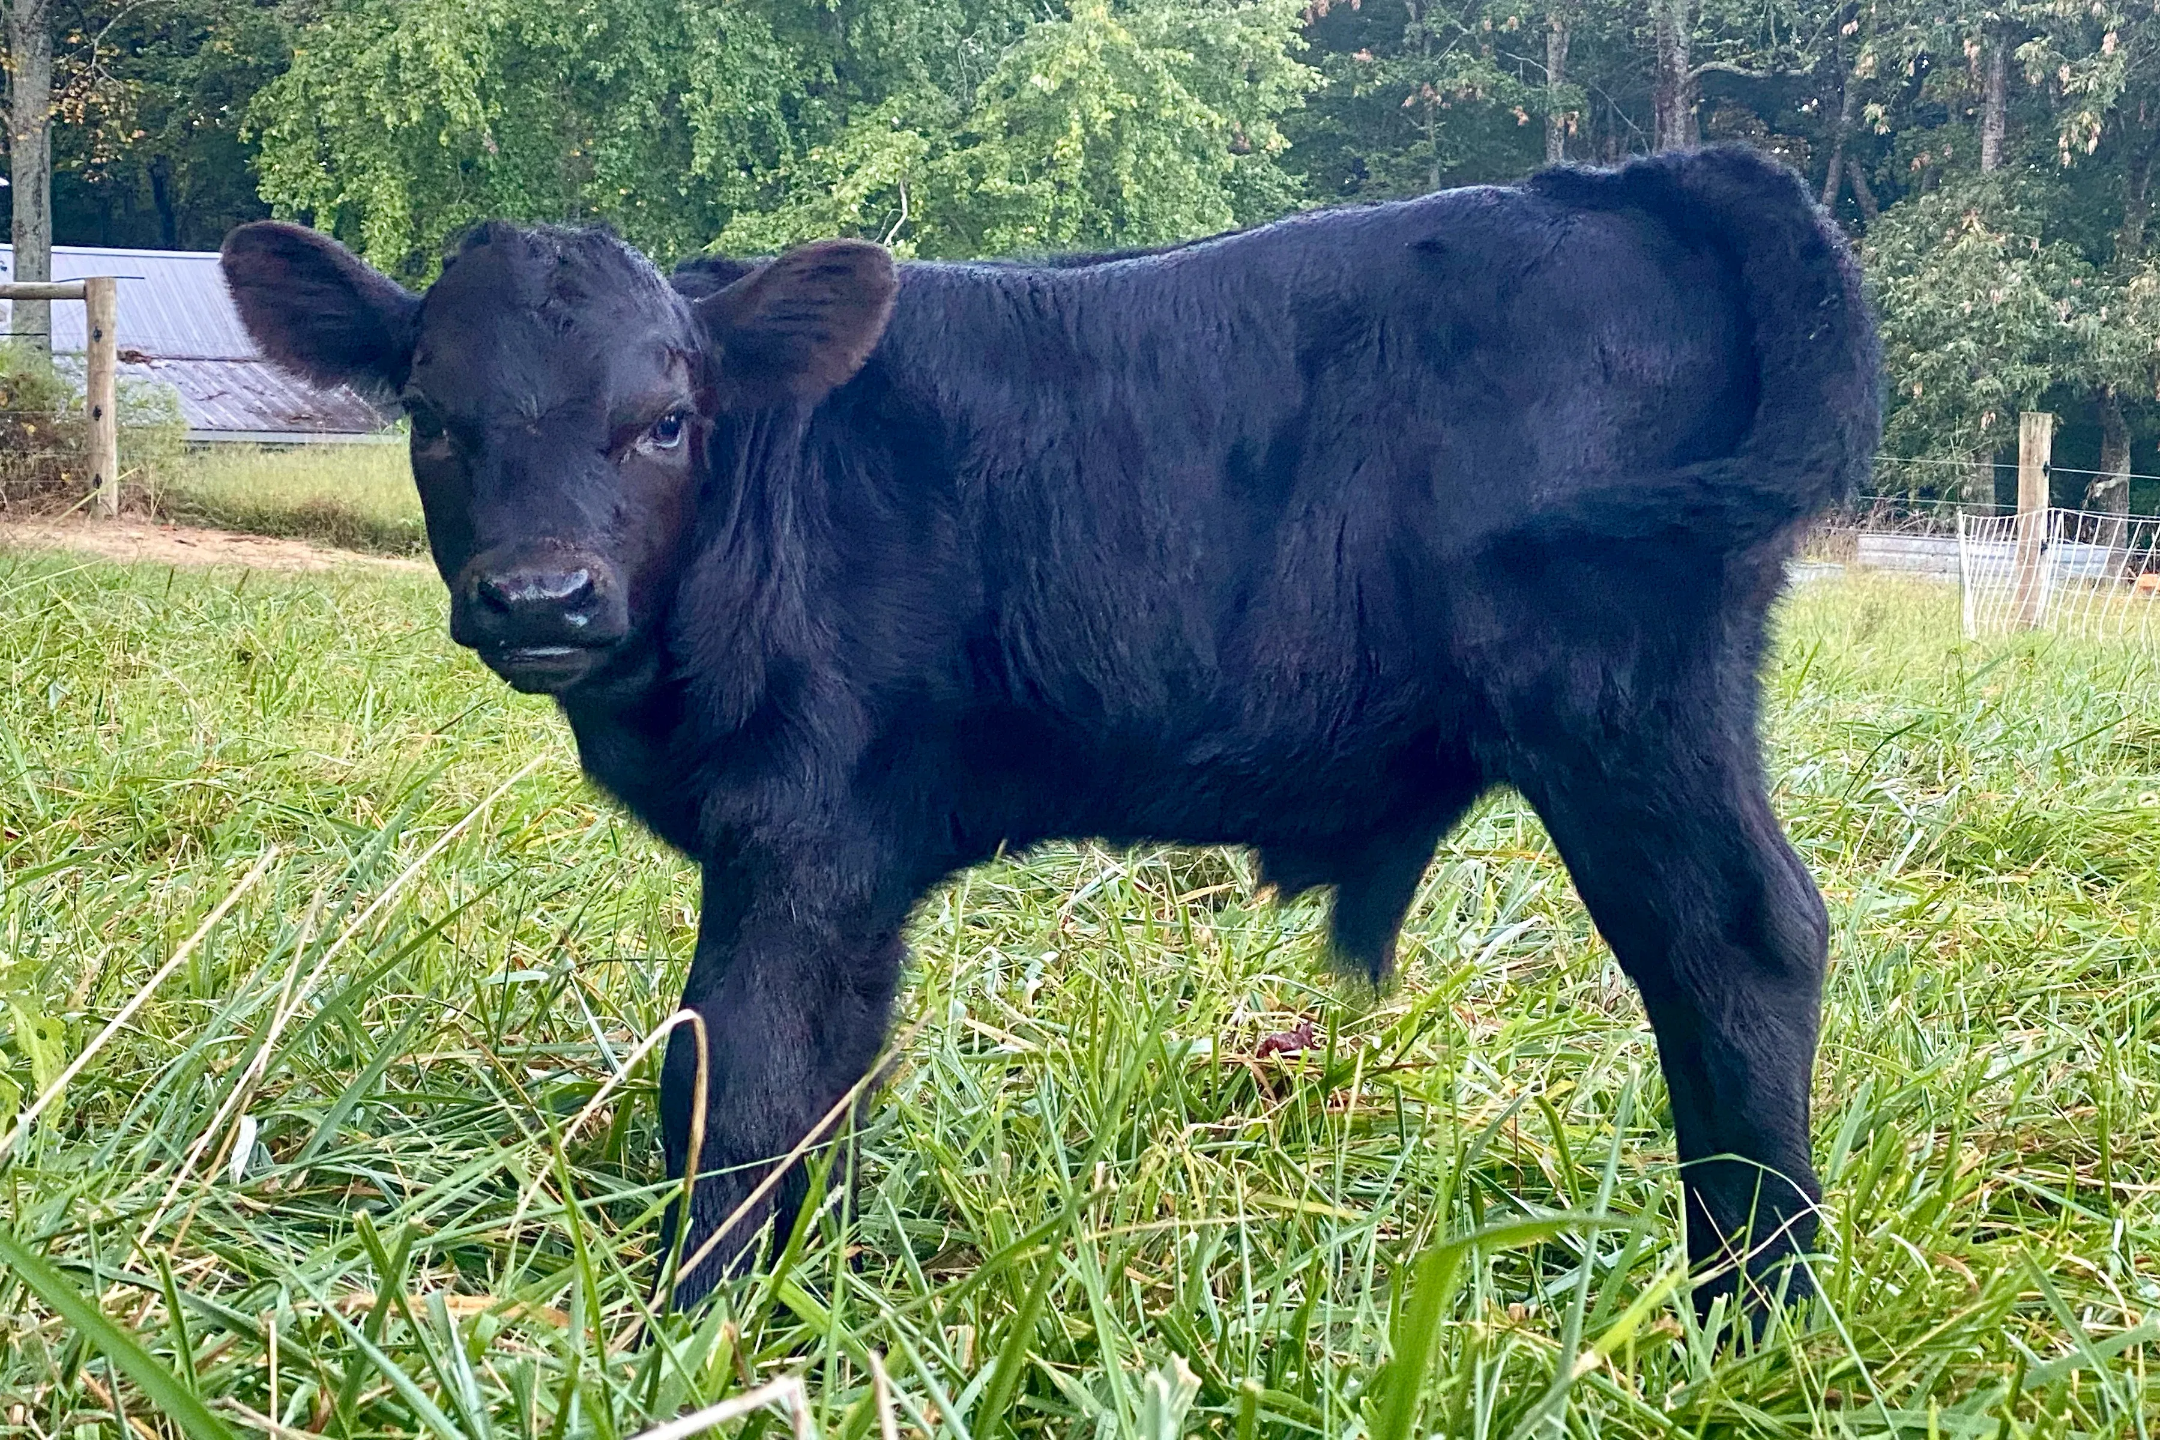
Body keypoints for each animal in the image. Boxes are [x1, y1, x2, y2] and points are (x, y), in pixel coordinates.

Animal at [220, 144, 1880, 1321]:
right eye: (436, 419)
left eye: (665, 421)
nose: (541, 596)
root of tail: (1621, 183)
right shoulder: (858, 866)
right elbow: (830, 1072)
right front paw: (804, 1299)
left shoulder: (798, 830)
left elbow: (734, 1076)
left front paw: (690, 1323)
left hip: (1619, 693)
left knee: (1739, 944)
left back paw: (1758, 1310)